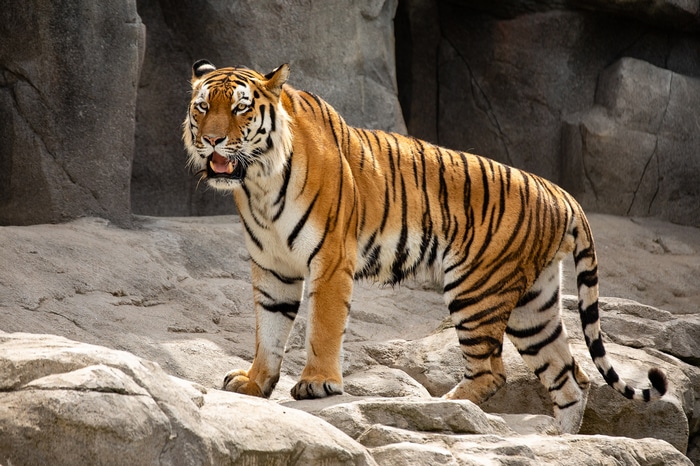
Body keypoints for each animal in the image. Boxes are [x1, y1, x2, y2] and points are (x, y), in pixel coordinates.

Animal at [182, 60, 667, 434]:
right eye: (203, 107)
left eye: (241, 109)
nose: (212, 140)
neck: (258, 183)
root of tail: (561, 193)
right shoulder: (272, 267)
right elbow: (268, 329)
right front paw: (255, 383)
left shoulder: (331, 259)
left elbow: (321, 327)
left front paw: (317, 383)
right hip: (534, 307)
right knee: (571, 380)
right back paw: (557, 440)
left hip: (477, 291)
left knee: (493, 372)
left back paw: (444, 405)